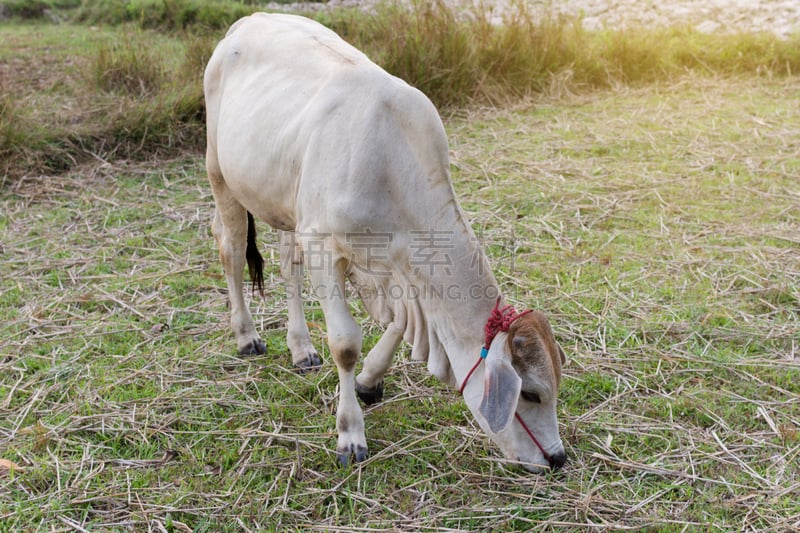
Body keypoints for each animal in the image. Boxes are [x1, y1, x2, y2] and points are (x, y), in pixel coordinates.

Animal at [206, 11, 568, 470]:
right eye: (533, 394)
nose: (558, 458)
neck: (392, 170)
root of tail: (249, 20)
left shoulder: (396, 268)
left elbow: (396, 324)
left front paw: (368, 381)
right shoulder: (326, 247)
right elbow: (345, 343)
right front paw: (350, 434)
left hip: (287, 203)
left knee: (289, 269)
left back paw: (301, 348)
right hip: (220, 174)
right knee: (232, 251)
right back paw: (247, 336)